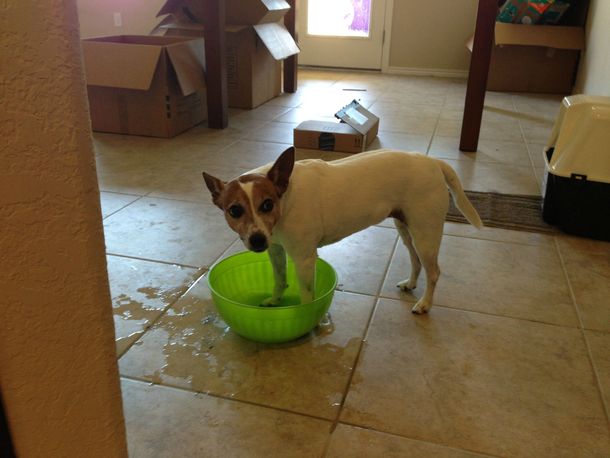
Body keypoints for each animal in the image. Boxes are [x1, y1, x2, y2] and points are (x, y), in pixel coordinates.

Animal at [203, 148, 480, 314]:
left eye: (267, 204)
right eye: (234, 210)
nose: (258, 240)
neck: (286, 198)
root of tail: (433, 162)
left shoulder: (304, 259)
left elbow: (306, 294)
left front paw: (304, 317)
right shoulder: (276, 251)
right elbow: (280, 279)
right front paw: (275, 300)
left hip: (426, 234)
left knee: (434, 271)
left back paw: (425, 304)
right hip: (408, 230)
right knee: (416, 262)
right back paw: (411, 284)